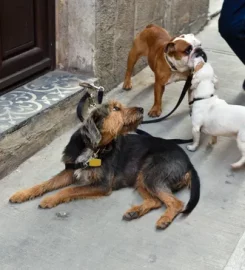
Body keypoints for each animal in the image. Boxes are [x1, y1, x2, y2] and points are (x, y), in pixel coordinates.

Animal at [10, 101, 200, 230]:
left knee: (177, 203)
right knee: (155, 201)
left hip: (152, 175)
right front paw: (22, 194)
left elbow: (69, 190)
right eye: (116, 108)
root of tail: (189, 163)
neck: (94, 148)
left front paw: (49, 199)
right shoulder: (70, 171)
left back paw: (164, 219)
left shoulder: (102, 184)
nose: (141, 109)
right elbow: (45, 184)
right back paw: (135, 212)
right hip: (141, 178)